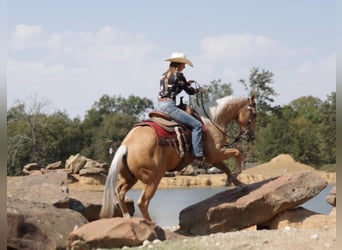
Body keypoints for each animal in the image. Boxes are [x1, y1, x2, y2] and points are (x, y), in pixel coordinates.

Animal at [100, 94, 255, 222]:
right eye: (254, 114)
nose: (251, 136)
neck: (212, 121)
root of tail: (126, 146)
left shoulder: (212, 158)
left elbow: (226, 168)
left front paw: (240, 184)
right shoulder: (215, 153)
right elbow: (237, 153)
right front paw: (238, 173)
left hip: (129, 178)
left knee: (119, 192)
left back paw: (128, 218)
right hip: (153, 179)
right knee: (142, 202)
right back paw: (151, 224)